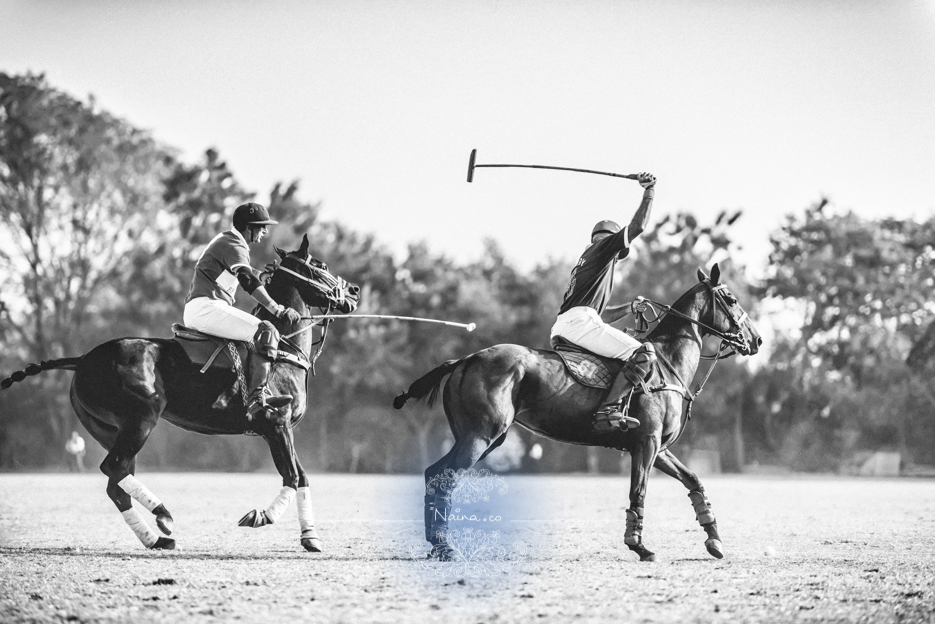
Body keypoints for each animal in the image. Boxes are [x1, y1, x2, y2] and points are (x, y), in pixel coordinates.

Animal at [0, 233, 354, 552]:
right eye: (321, 265)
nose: (354, 291)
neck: (284, 351)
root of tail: (82, 359)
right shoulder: (276, 423)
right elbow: (292, 476)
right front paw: (261, 517)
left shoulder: (280, 429)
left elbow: (302, 476)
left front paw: (310, 537)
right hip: (141, 418)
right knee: (113, 468)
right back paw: (163, 514)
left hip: (108, 428)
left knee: (117, 482)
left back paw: (156, 537)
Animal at [394, 262, 760, 560]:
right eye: (731, 299)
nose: (756, 340)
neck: (668, 363)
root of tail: (465, 359)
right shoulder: (646, 443)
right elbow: (638, 491)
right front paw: (638, 545)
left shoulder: (658, 447)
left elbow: (694, 480)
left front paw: (714, 541)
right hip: (481, 436)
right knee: (445, 478)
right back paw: (445, 547)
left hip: (479, 438)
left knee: (433, 474)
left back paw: (437, 544)